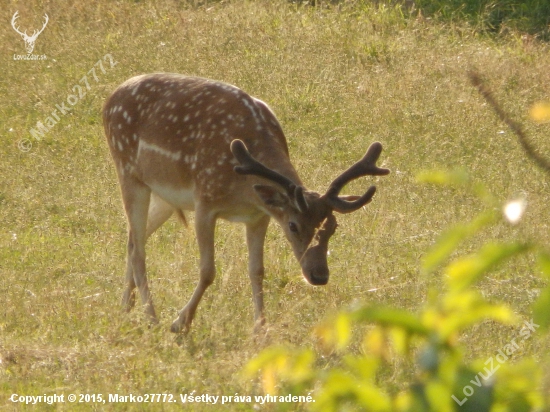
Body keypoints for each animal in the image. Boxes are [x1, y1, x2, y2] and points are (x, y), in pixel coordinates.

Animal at [102, 72, 388, 334]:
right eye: (293, 226)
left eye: (332, 227)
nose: (319, 276)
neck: (243, 189)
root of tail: (110, 99)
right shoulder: (205, 201)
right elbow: (207, 271)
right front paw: (180, 323)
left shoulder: (260, 216)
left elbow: (257, 270)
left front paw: (260, 330)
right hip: (128, 171)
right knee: (138, 249)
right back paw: (151, 317)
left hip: (165, 197)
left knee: (132, 239)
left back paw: (125, 307)